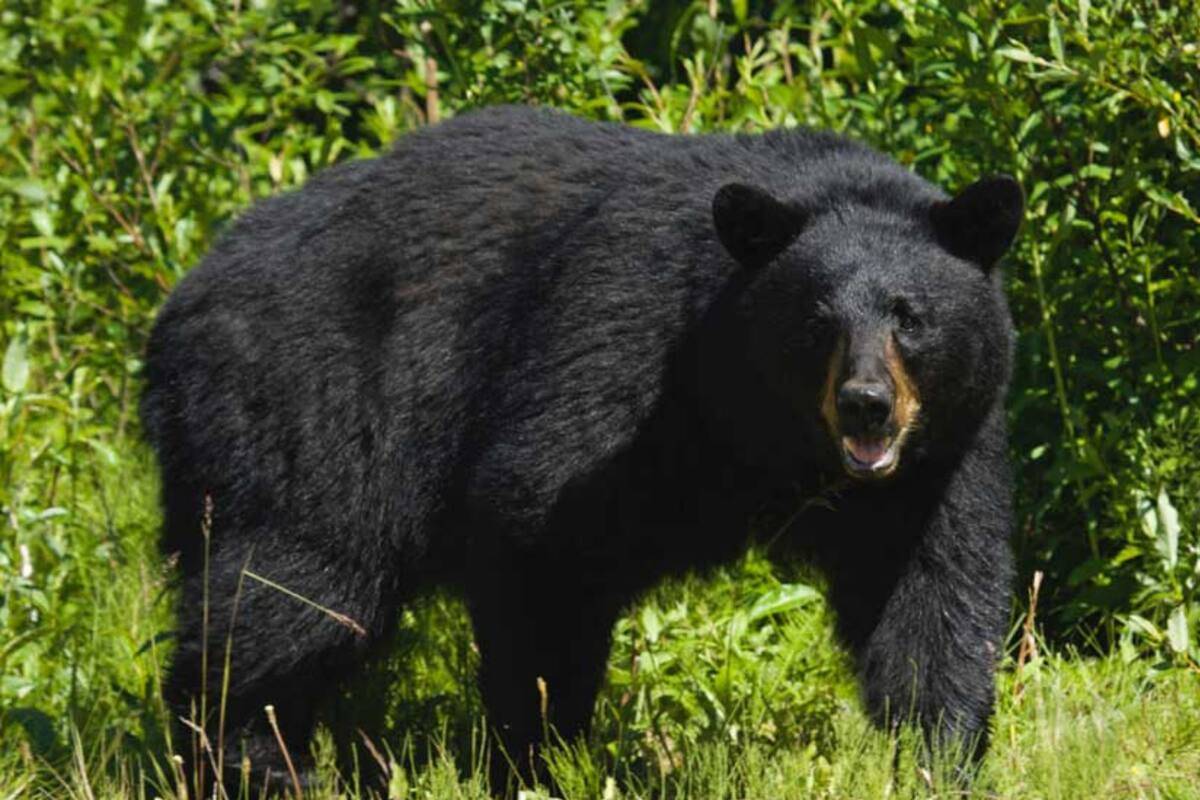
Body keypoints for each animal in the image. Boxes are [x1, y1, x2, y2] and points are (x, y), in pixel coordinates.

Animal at [140, 104, 1022, 793]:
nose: (865, 404)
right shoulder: (621, 354)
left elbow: (930, 598)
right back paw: (250, 762)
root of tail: (184, 294)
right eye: (815, 322)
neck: (757, 425)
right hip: (306, 406)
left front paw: (942, 758)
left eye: (910, 315)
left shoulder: (935, 462)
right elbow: (539, 531)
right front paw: (537, 753)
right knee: (291, 594)